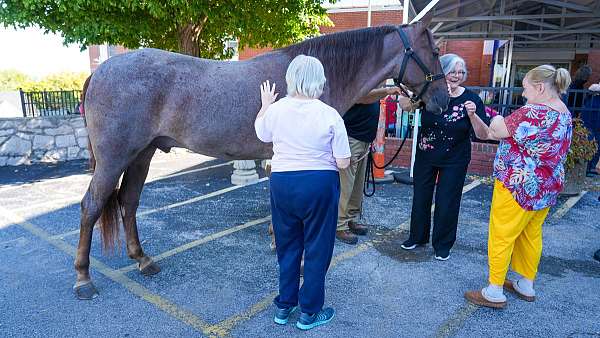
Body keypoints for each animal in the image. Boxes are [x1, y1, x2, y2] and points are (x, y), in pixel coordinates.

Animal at [75, 18, 448, 300]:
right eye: (434, 51)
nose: (442, 100)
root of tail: (101, 71)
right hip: (115, 158)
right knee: (92, 205)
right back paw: (83, 279)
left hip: (142, 154)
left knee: (129, 201)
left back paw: (142, 260)